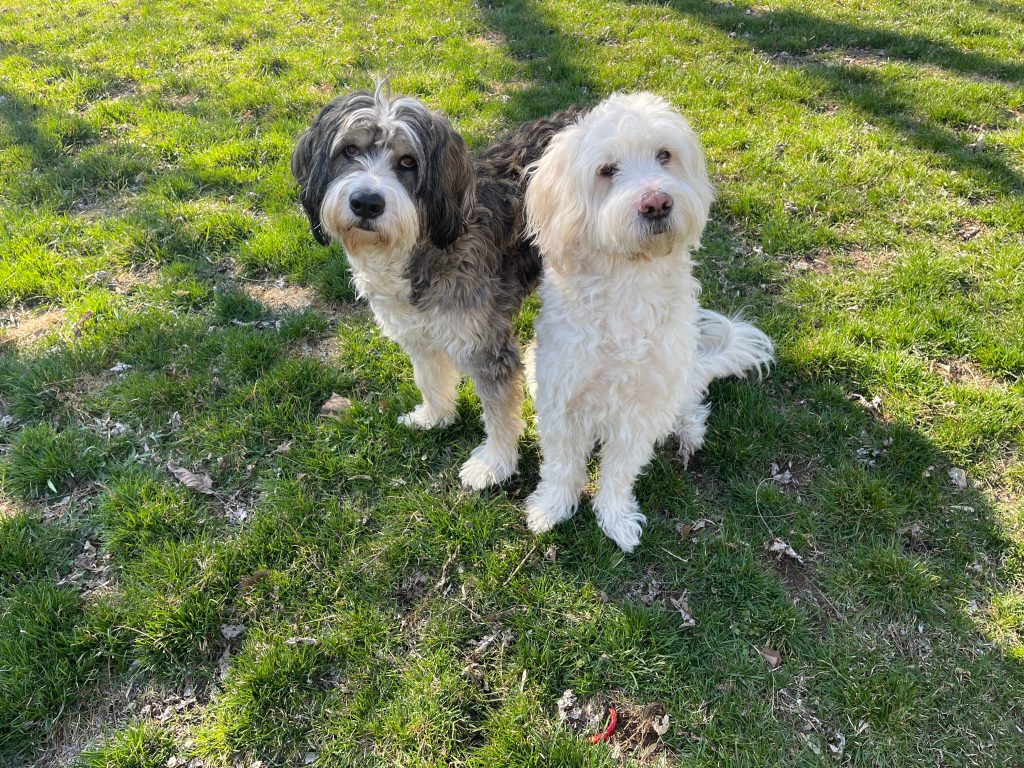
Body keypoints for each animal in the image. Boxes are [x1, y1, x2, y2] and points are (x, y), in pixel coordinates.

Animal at [292, 83, 589, 489]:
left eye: (407, 162)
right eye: (349, 150)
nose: (366, 203)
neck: (427, 242)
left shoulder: (486, 345)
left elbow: (499, 411)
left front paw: (494, 464)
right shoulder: (415, 331)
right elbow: (429, 377)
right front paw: (434, 417)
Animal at [524, 93, 770, 552]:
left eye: (664, 155)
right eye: (606, 170)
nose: (656, 203)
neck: (629, 281)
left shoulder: (641, 408)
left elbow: (620, 472)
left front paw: (616, 519)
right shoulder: (561, 395)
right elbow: (562, 465)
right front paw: (551, 508)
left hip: (679, 377)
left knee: (691, 401)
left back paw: (689, 432)